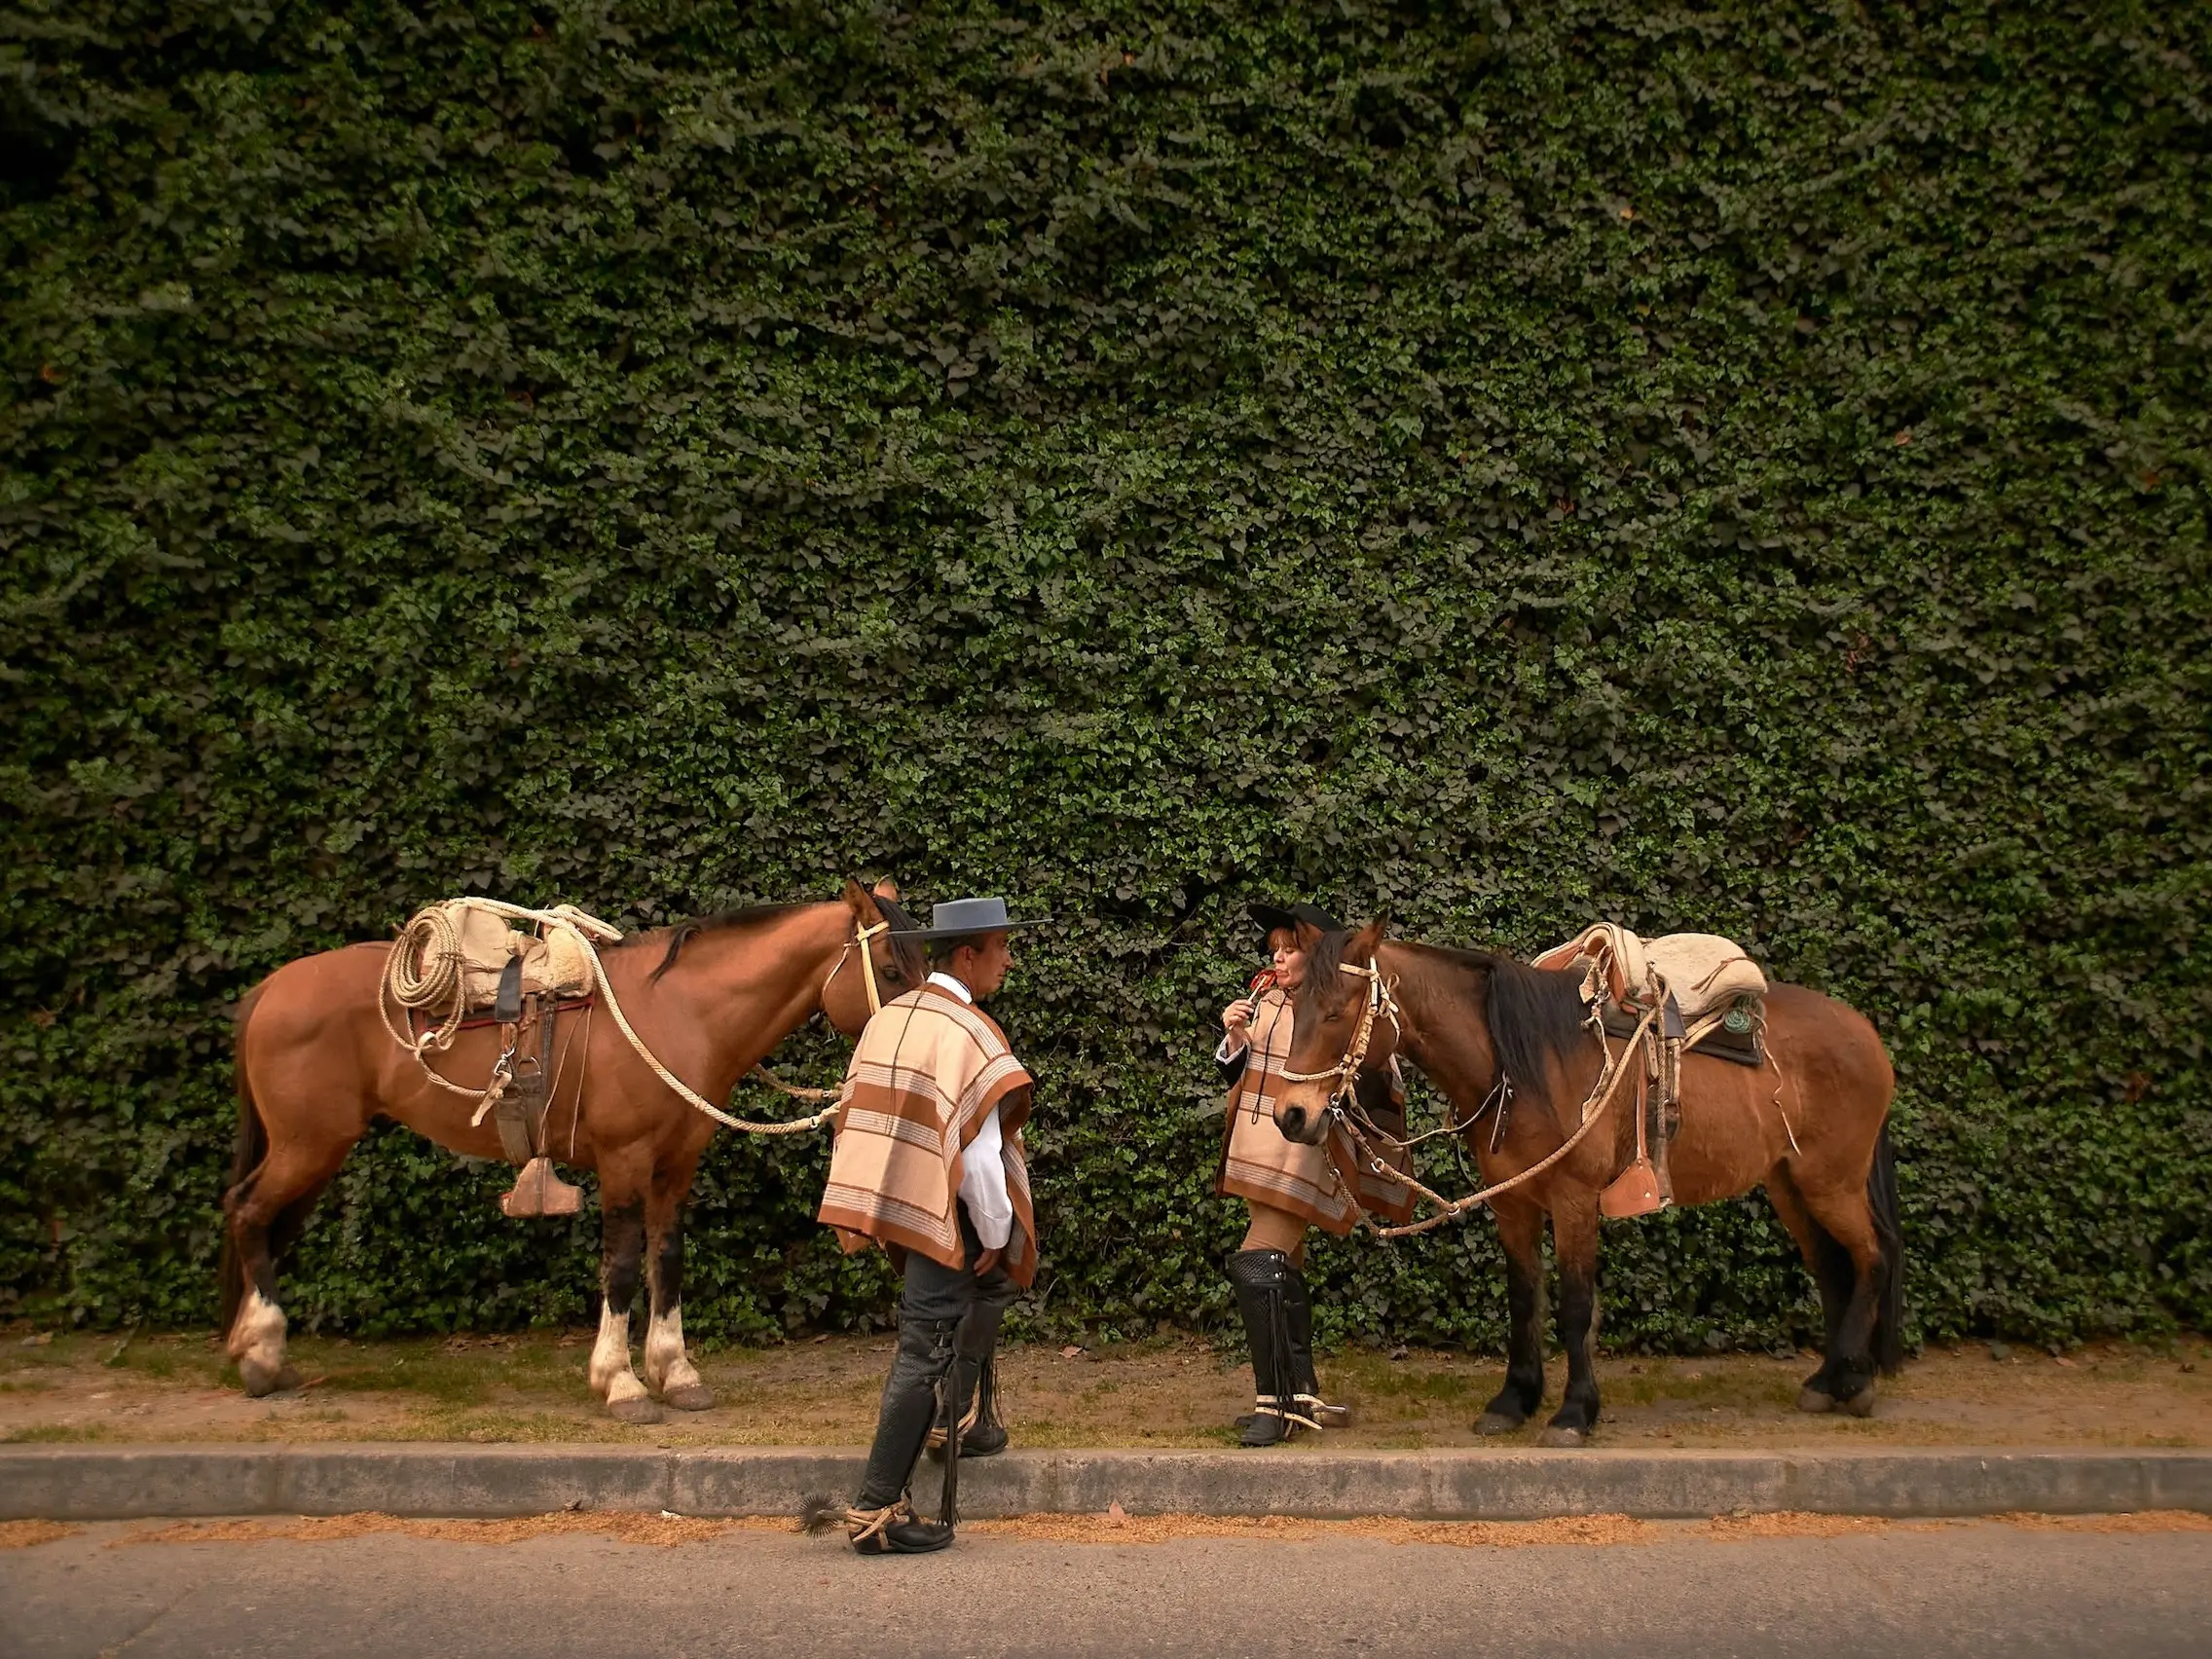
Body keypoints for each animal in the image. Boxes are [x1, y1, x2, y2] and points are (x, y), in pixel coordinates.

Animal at [217, 875, 924, 1424]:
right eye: (891, 970)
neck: (679, 1011)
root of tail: (270, 988)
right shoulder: (624, 1161)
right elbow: (622, 1265)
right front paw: (621, 1383)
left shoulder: (675, 1166)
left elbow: (667, 1260)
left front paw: (676, 1373)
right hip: (308, 1145)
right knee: (247, 1211)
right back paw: (263, 1355)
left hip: (314, 1150)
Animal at [1273, 915, 1911, 1451]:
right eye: (1295, 1005)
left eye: (1336, 1012)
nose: (1292, 1116)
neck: (1522, 1061)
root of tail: (1865, 1032)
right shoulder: (1514, 1204)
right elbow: (1524, 1297)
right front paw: (1513, 1401)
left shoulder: (1574, 1199)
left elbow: (1577, 1305)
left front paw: (1574, 1413)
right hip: (1790, 1185)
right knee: (1832, 1267)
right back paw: (1828, 1380)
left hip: (1832, 1183)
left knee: (1873, 1256)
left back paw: (1854, 1383)